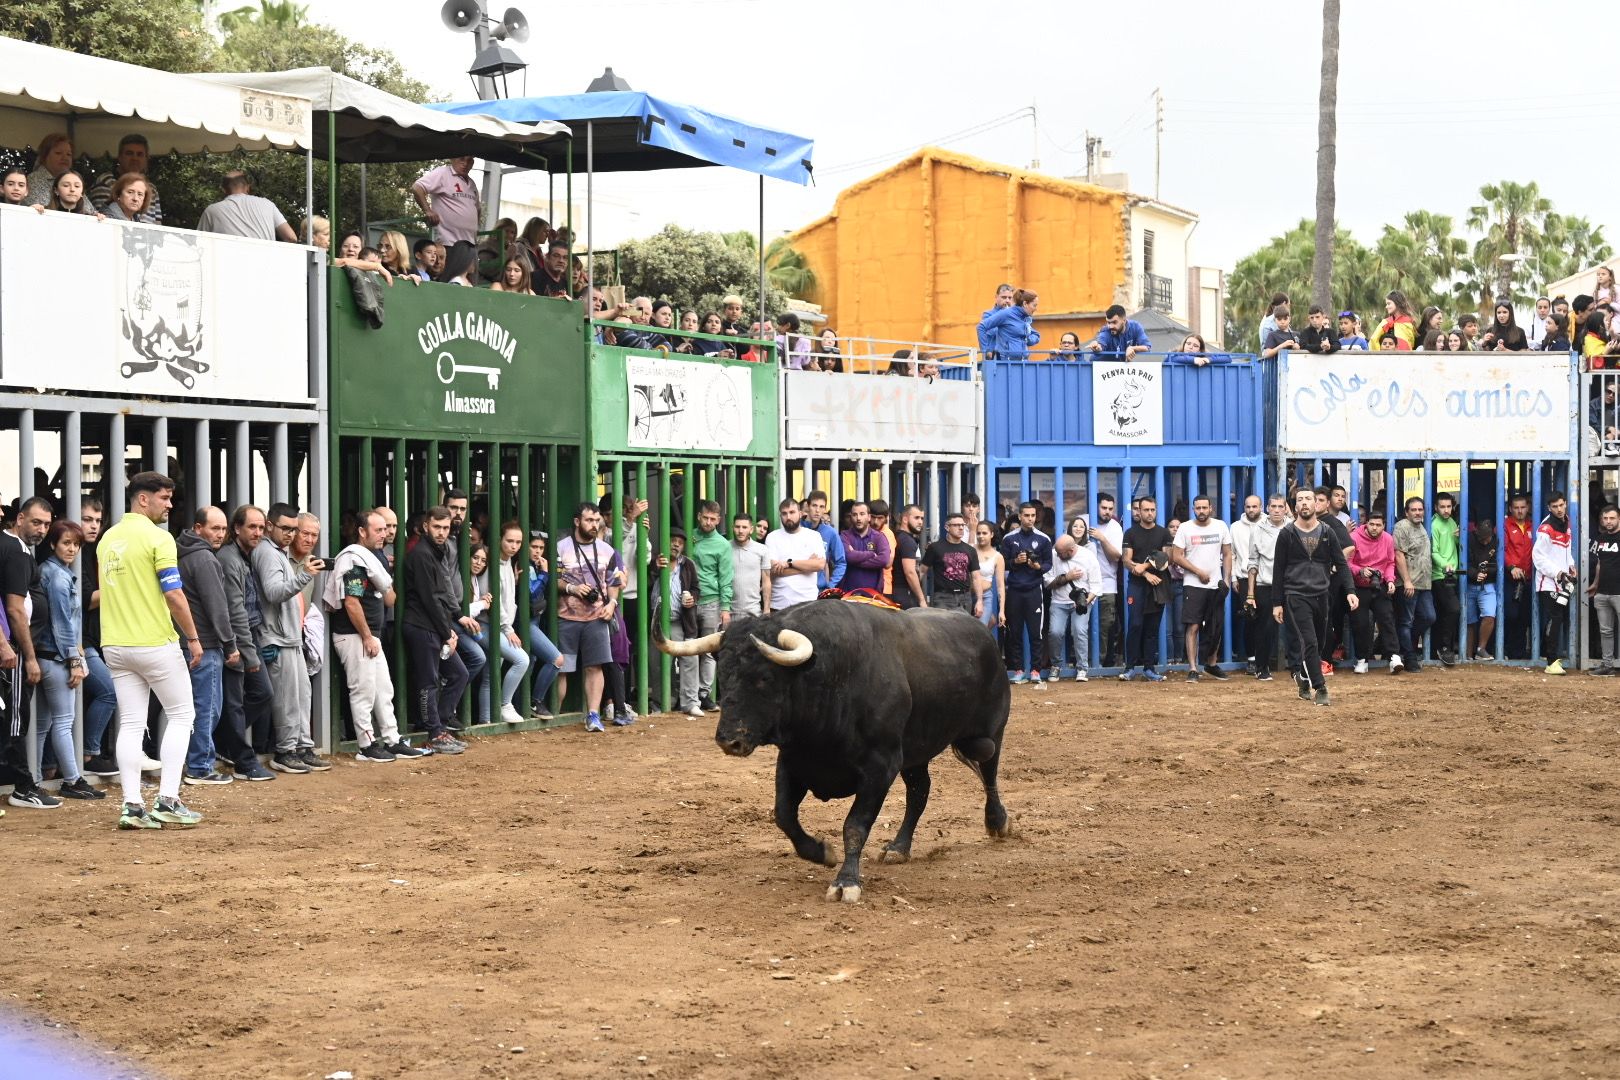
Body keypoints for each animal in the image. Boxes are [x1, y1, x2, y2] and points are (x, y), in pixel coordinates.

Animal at [651, 605, 1004, 900]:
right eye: (722, 674)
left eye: (765, 677)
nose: (729, 740)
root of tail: (983, 633)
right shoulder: (793, 763)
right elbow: (784, 815)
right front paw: (821, 852)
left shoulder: (880, 767)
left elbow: (855, 826)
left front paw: (846, 881)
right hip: (916, 754)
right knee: (920, 792)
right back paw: (899, 848)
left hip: (991, 732)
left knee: (988, 774)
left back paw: (998, 823)